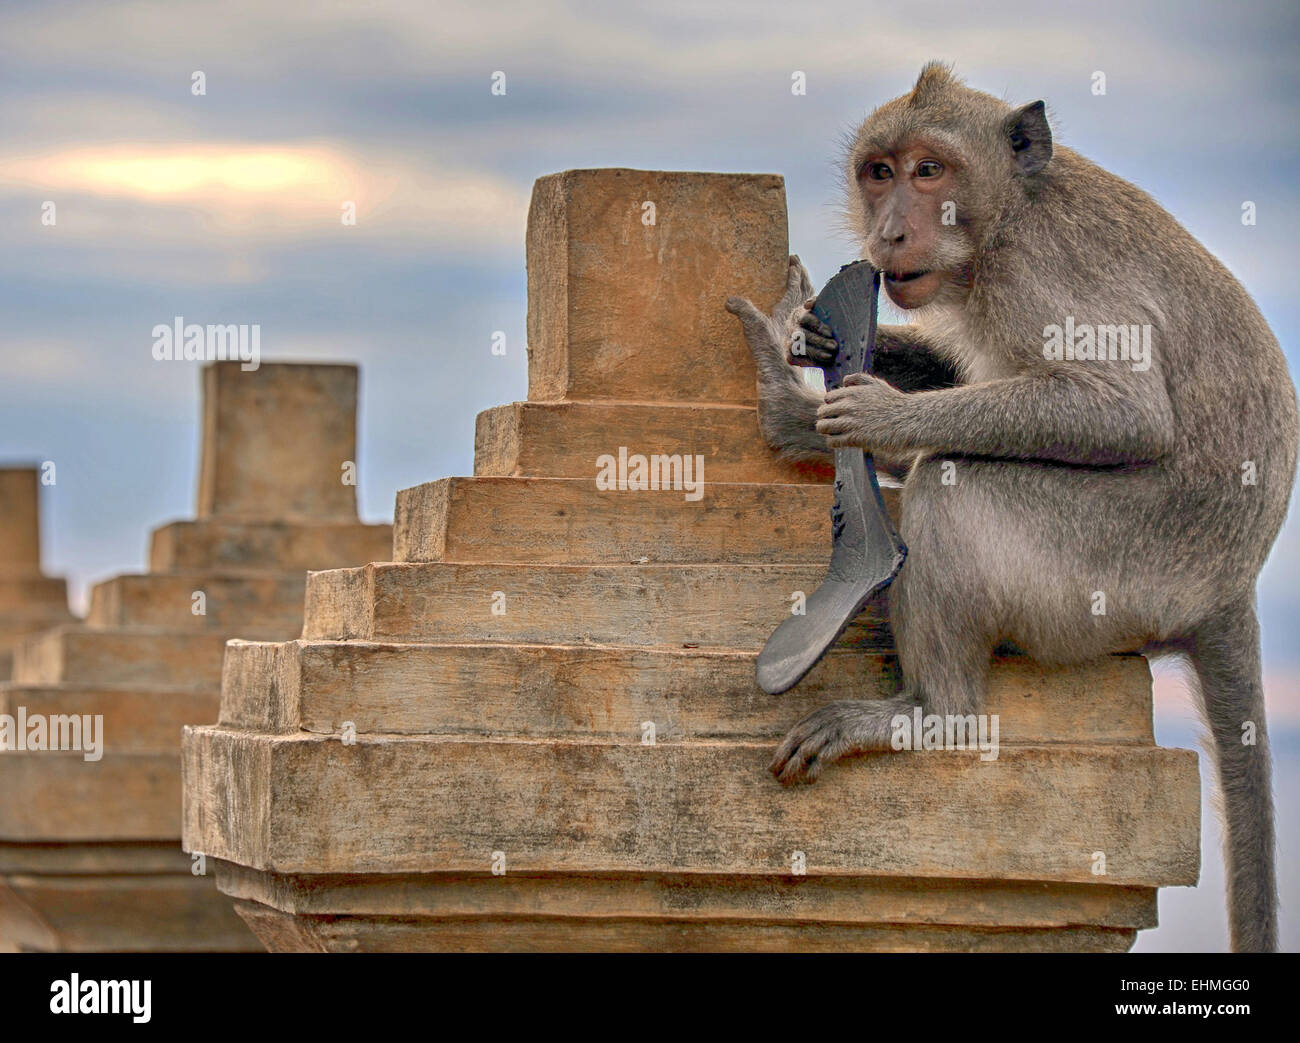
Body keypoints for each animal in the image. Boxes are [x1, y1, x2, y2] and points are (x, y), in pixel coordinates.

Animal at [728, 61, 1294, 946]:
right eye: (879, 172)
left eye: (931, 171)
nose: (889, 233)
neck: (1002, 222)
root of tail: (1230, 587)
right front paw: (809, 336)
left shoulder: (1039, 271)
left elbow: (1126, 412)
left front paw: (883, 414)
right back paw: (795, 415)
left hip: (1112, 577)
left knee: (956, 486)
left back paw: (936, 716)